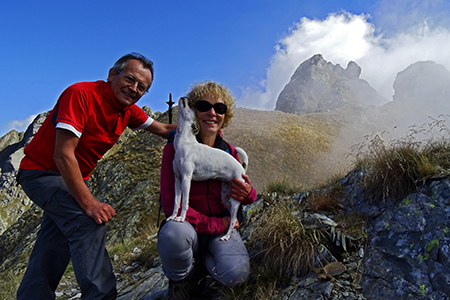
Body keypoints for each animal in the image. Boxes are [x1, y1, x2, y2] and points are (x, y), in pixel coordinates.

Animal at [167, 97, 248, 240]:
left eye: (192, 106)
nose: (185, 97)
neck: (184, 143)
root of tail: (241, 168)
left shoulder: (186, 179)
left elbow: (185, 202)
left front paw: (181, 218)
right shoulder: (178, 179)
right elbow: (177, 202)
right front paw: (173, 216)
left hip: (235, 200)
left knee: (233, 220)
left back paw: (226, 237)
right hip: (226, 196)